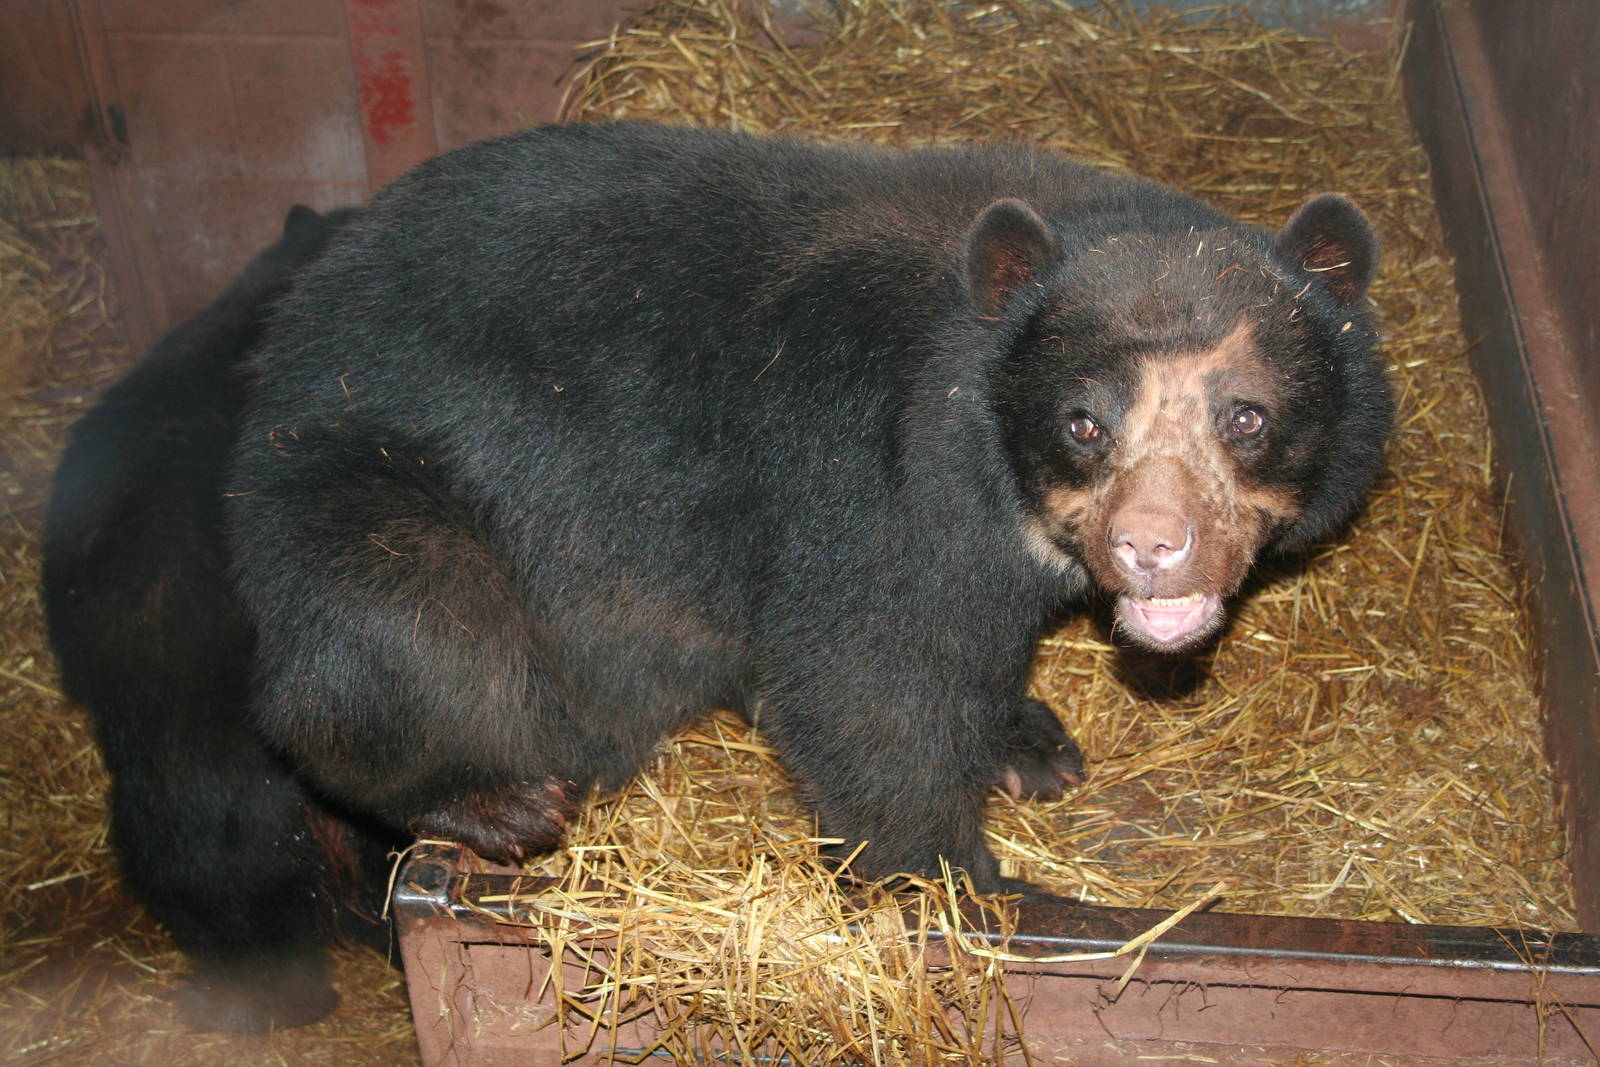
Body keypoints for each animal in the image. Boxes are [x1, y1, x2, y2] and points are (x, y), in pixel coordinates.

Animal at [228, 121, 1389, 900]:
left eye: (1245, 414)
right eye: (1083, 423)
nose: (1151, 546)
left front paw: (1029, 741)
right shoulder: (873, 486)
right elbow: (869, 678)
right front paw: (967, 885)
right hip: (366, 487)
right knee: (408, 629)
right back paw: (494, 798)